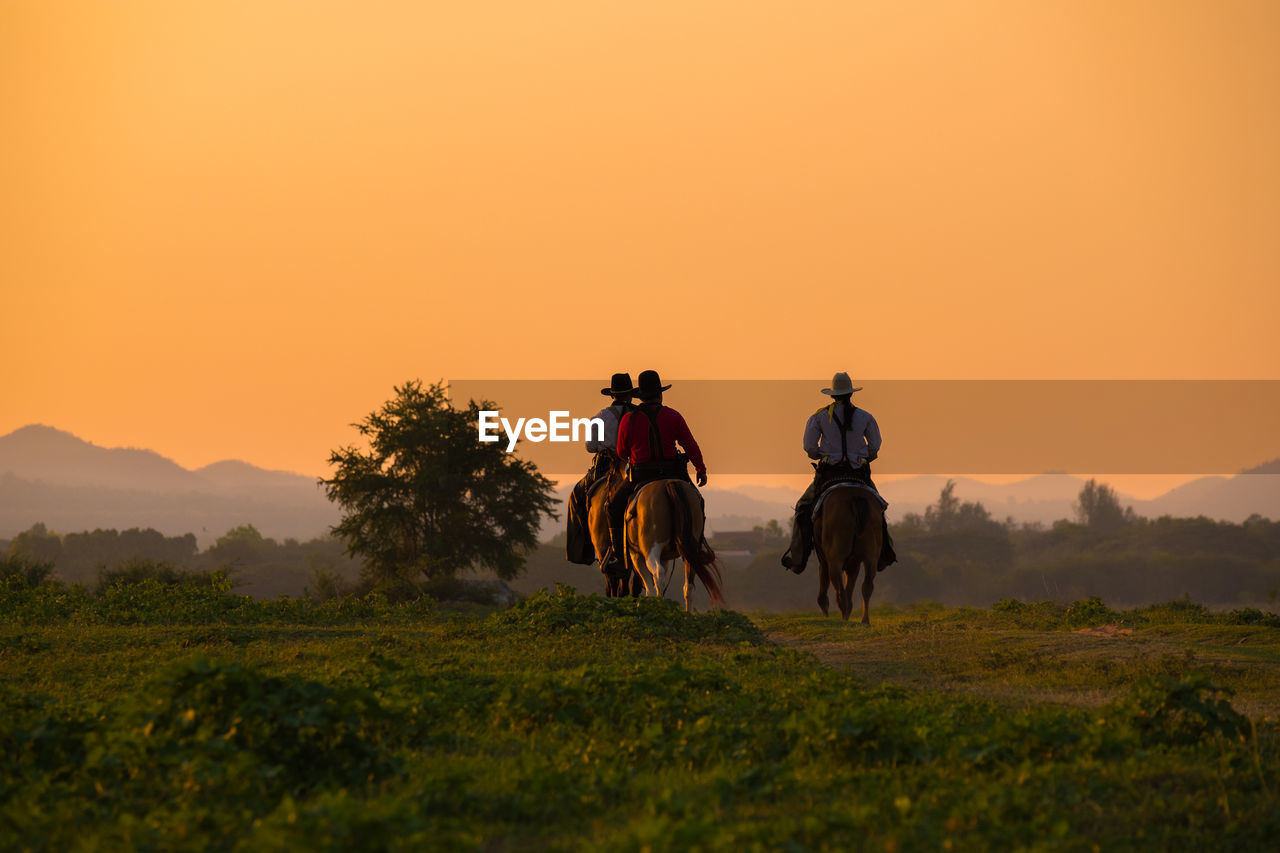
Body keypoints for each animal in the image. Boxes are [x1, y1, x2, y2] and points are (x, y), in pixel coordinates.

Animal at [624, 479, 727, 612]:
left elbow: (649, 588)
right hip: (690, 553)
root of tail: (669, 483)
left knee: (658, 574)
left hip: (651, 548)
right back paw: (687, 613)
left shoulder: (636, 555)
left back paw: (660, 606)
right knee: (688, 587)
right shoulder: (664, 558)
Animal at [814, 489, 885, 622]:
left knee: (840, 592)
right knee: (866, 587)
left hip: (835, 560)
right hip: (871, 557)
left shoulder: (825, 560)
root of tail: (854, 497)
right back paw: (864, 620)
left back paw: (844, 620)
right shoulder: (854, 564)